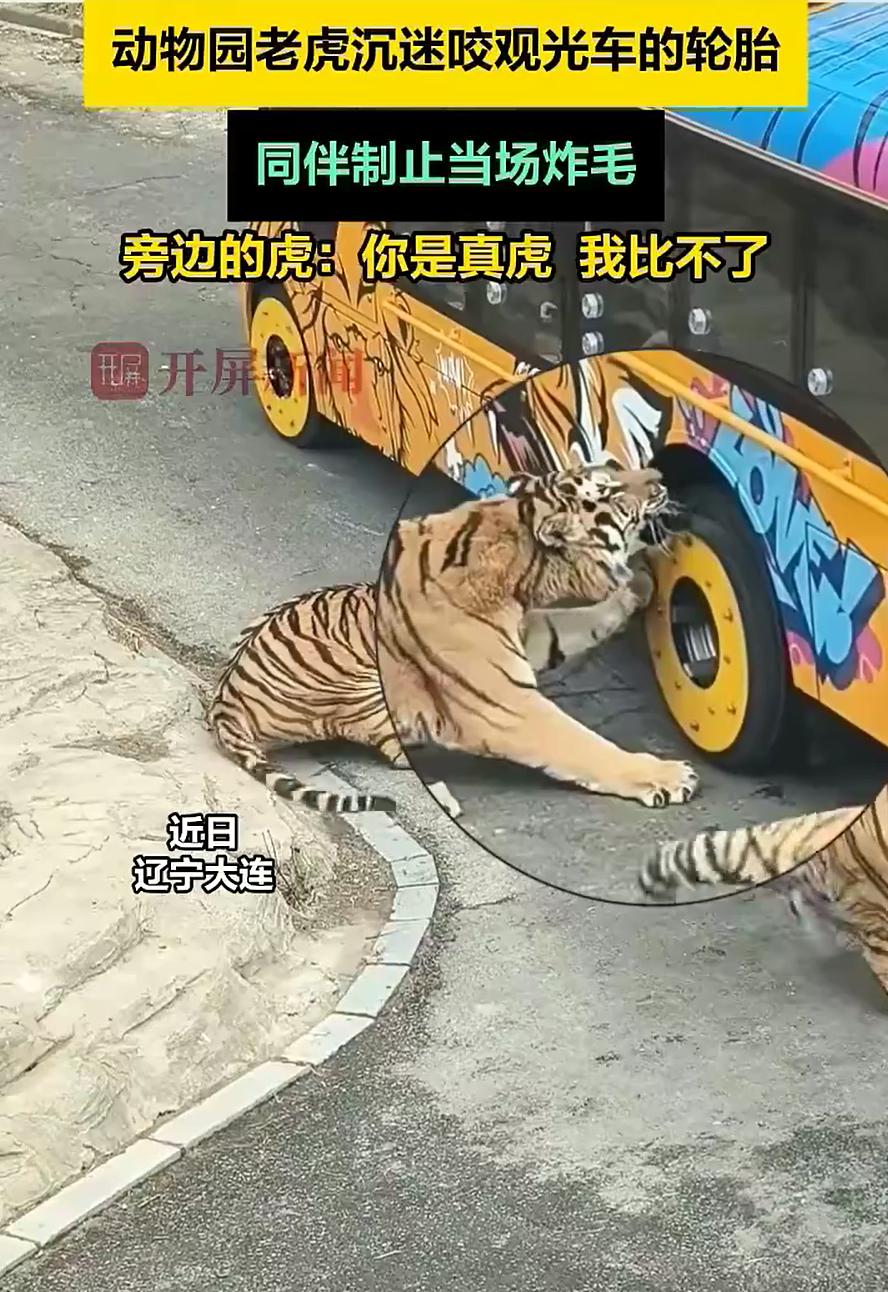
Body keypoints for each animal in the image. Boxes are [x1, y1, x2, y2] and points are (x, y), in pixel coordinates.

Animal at [208, 461, 693, 816]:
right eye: (609, 489)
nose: (660, 476)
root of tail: (224, 699)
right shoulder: (507, 706)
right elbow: (583, 746)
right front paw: (668, 776)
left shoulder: (528, 635)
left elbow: (581, 621)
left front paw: (641, 581)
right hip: (366, 689)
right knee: (396, 752)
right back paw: (443, 796)